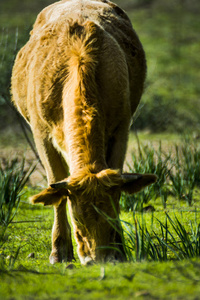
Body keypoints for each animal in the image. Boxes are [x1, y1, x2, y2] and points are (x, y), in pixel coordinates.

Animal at [11, 0, 158, 264]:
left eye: (111, 216)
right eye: (77, 219)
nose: (97, 259)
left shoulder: (121, 128)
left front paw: (119, 250)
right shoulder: (41, 135)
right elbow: (55, 187)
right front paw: (59, 250)